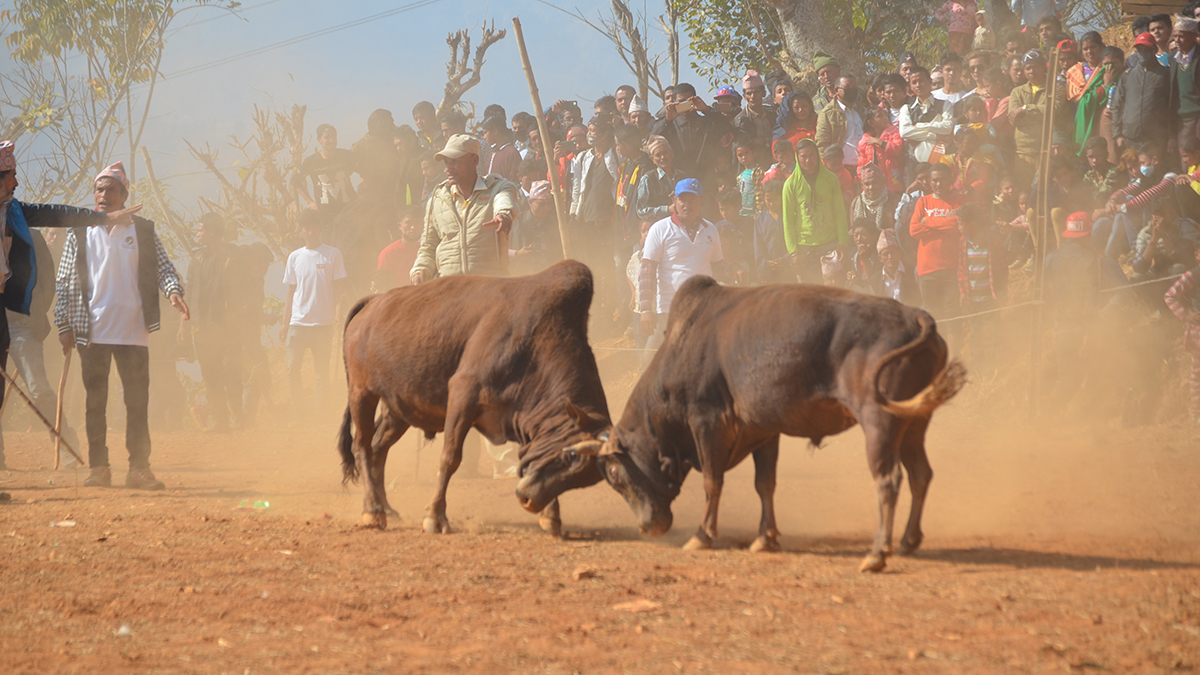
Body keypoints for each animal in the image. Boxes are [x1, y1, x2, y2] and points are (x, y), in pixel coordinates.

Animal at [338, 260, 609, 533]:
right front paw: (435, 515)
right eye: (572, 456)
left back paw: (387, 509)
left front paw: (551, 516)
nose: (529, 500)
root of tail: (373, 302)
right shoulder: (463, 395)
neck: (536, 340)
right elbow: (449, 458)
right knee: (362, 446)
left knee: (378, 449)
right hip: (362, 394)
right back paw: (372, 511)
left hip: (397, 409)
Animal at [571, 276, 964, 569]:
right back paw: (908, 540)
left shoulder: (707, 423)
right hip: (914, 424)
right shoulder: (764, 431)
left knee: (889, 480)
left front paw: (702, 535)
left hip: (879, 421)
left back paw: (876, 553)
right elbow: (766, 484)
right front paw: (765, 537)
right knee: (920, 474)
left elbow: (713, 482)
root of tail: (915, 316)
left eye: (613, 473)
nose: (646, 527)